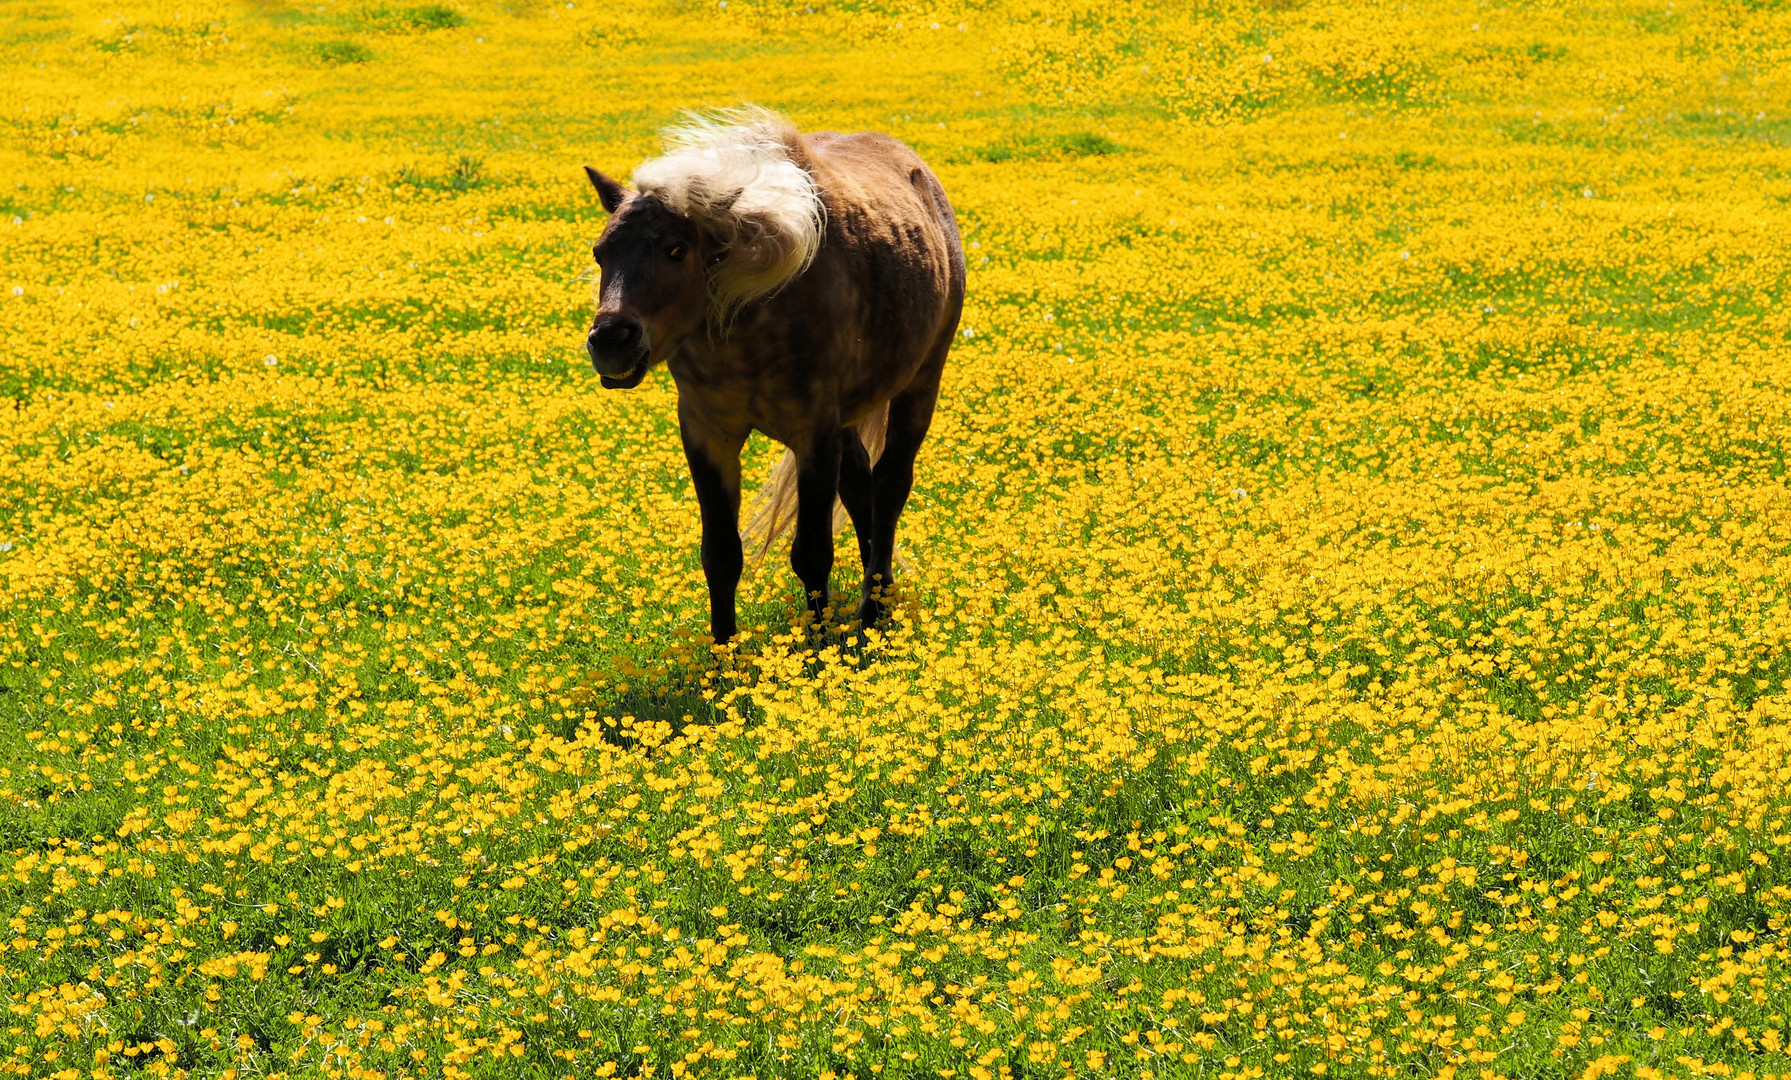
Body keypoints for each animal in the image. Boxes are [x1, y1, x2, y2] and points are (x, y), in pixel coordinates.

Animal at [583, 111, 967, 641]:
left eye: (677, 250)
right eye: (600, 253)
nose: (610, 341)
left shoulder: (814, 433)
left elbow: (812, 553)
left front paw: (818, 648)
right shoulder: (707, 432)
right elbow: (720, 555)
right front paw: (724, 655)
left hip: (921, 383)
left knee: (890, 486)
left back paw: (874, 611)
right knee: (861, 486)